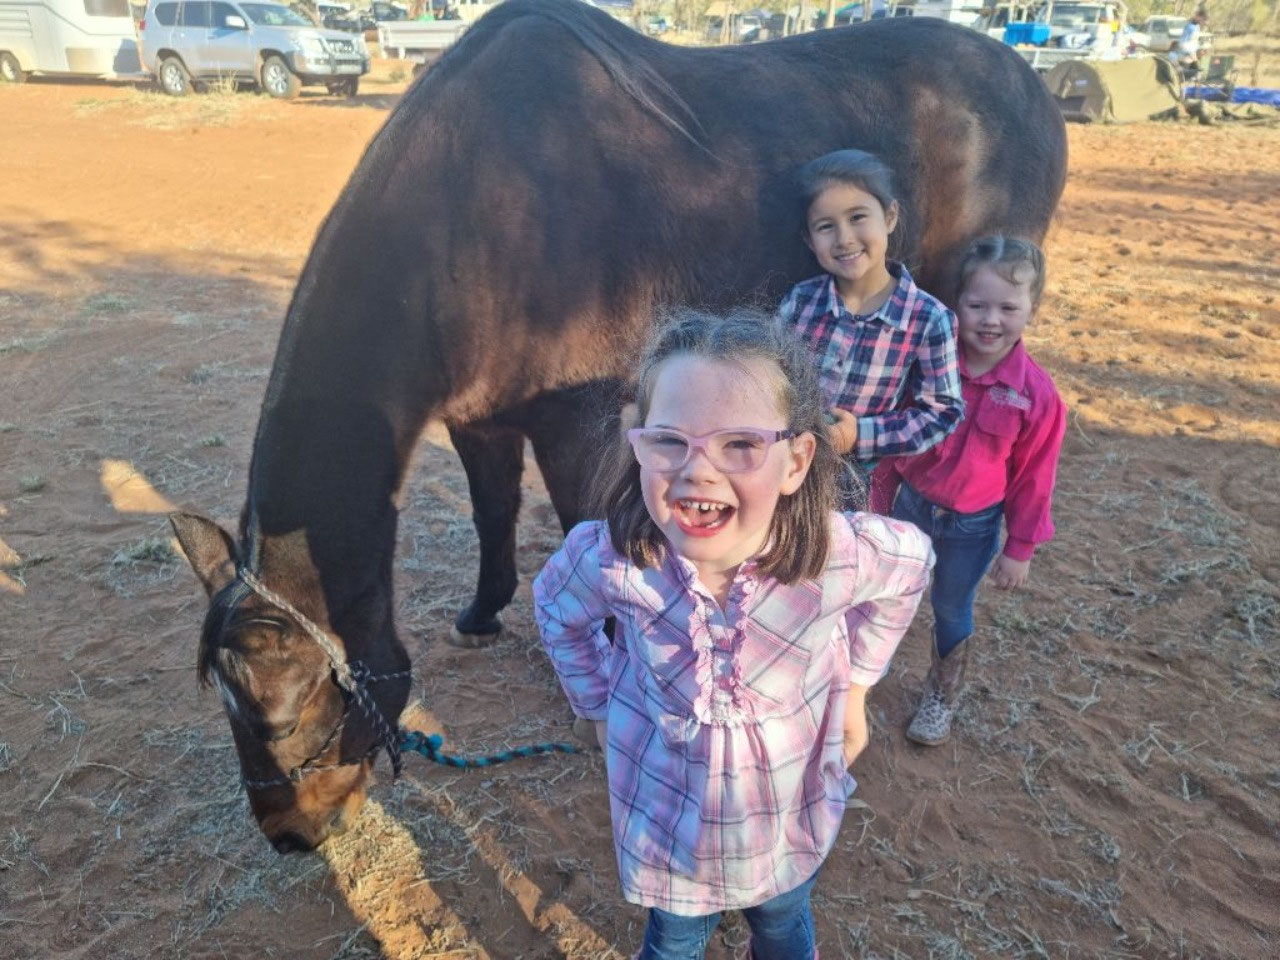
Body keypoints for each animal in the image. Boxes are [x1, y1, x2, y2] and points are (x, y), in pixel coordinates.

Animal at [171, 0, 1067, 852]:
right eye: (225, 707)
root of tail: (1030, 83)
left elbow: (586, 533)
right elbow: (493, 514)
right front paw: (482, 615)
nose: (290, 835)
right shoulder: (480, 418)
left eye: (288, 713)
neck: (480, 206)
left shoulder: (579, 419)